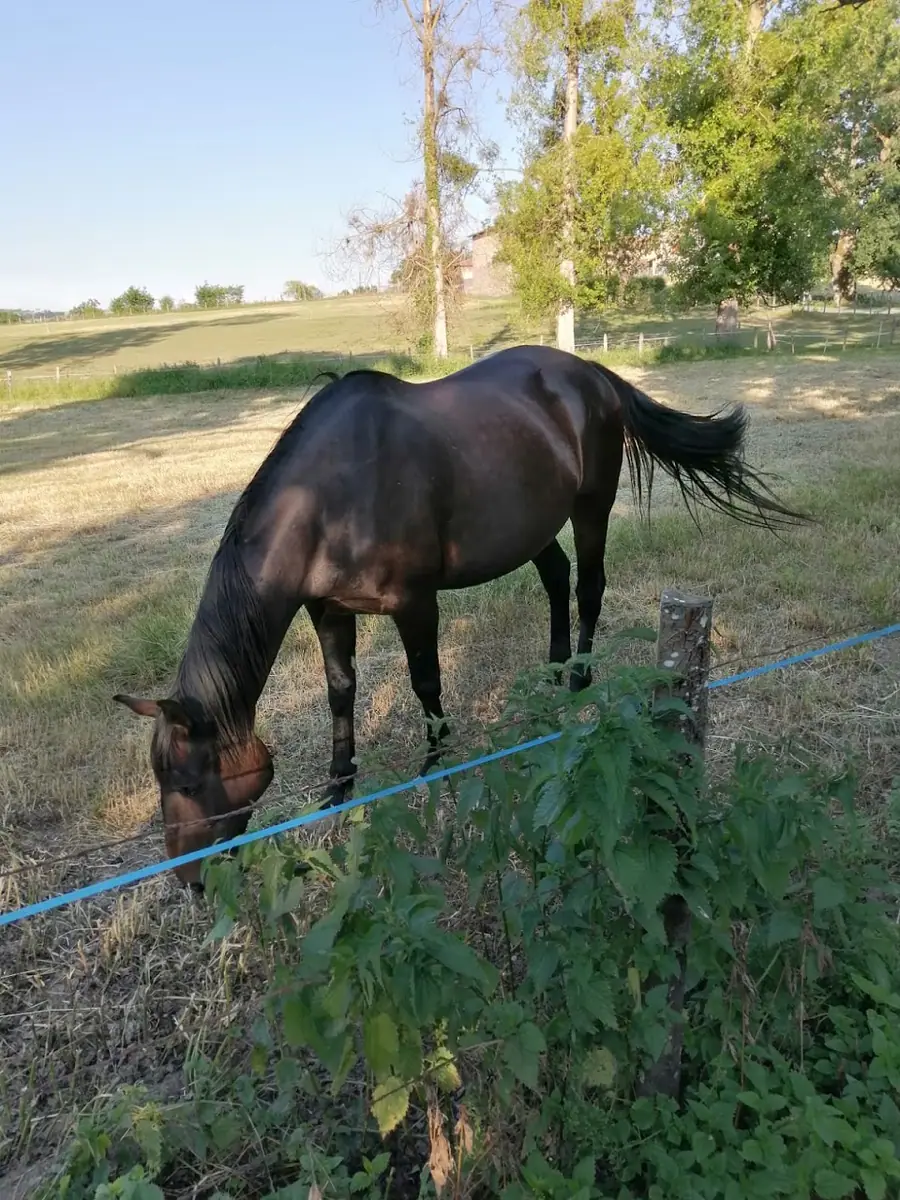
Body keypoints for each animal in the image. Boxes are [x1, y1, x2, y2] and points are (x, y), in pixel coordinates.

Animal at [114, 343, 804, 887]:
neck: (332, 495)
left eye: (187, 782)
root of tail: (593, 373)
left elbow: (426, 681)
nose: (190, 880)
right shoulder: (326, 608)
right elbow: (340, 690)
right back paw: (550, 676)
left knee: (589, 586)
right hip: (530, 525)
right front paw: (339, 785)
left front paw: (435, 762)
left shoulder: (415, 602)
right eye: (163, 781)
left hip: (592, 506)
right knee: (556, 579)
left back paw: (578, 679)